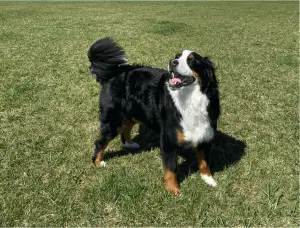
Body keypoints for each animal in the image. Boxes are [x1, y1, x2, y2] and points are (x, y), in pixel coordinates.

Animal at [86, 37, 220, 196]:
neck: (190, 100)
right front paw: (174, 190)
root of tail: (114, 72)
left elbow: (204, 161)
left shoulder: (206, 133)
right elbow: (171, 169)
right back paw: (98, 161)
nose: (172, 62)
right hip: (113, 120)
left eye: (191, 60)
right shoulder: (168, 140)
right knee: (101, 141)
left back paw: (130, 144)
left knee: (126, 128)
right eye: (177, 56)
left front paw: (208, 179)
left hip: (132, 113)